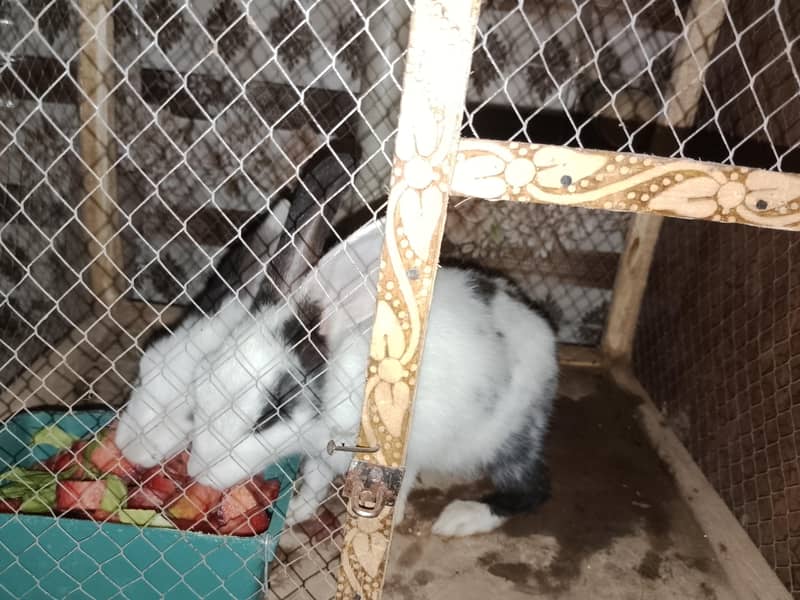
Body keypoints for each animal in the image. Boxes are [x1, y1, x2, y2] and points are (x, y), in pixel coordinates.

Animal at [181, 150, 559, 538]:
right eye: (201, 379)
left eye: (269, 414)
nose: (198, 472)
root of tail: (542, 327)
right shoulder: (321, 454)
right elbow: (315, 480)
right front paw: (297, 513)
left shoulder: (408, 444)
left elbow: (399, 482)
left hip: (504, 436)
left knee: (533, 488)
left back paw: (461, 518)